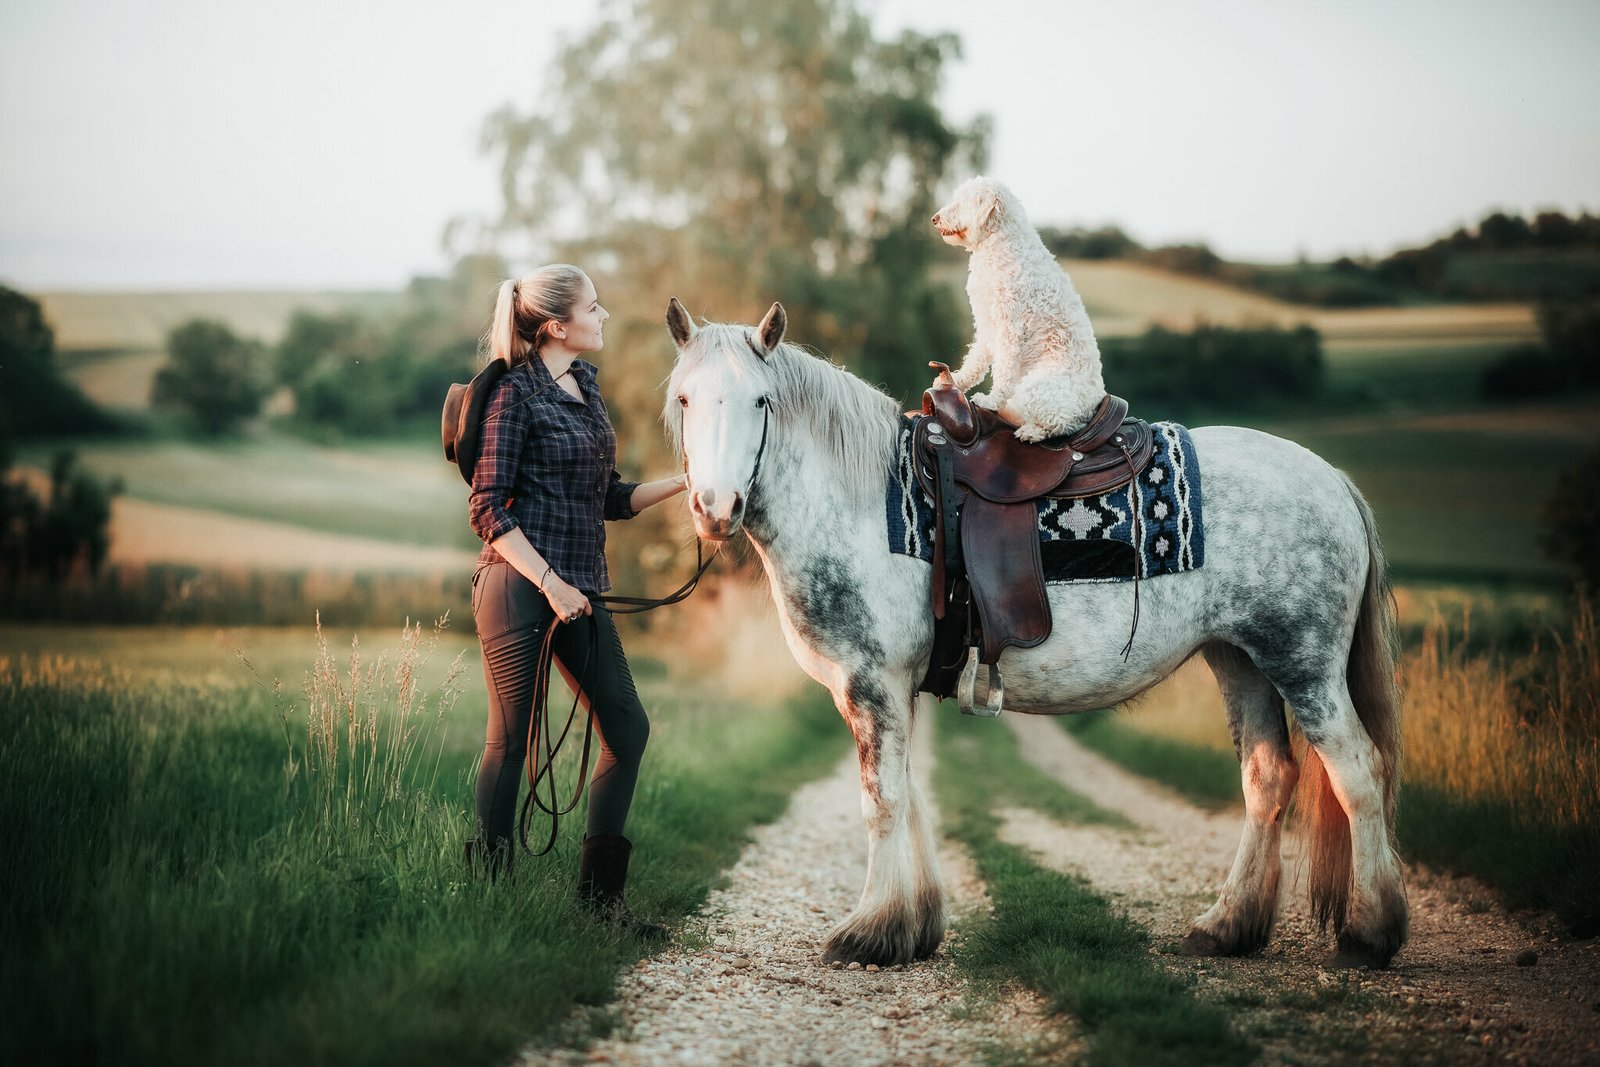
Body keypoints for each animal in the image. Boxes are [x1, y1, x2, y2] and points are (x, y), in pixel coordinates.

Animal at [665, 299, 1414, 966]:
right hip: (1240, 660)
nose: (715, 507)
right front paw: (912, 926)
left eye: (760, 401)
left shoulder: (871, 685)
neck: (861, 502)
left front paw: (869, 932)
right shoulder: (891, 691)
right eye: (684, 400)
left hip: (1303, 661)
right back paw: (1228, 926)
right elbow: (907, 796)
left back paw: (1370, 932)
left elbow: (882, 799)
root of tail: (1332, 479)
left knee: (1358, 771)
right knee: (1268, 777)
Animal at [934, 175, 1107, 441]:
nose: (935, 218)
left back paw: (1031, 432)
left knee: (1063, 424)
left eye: (963, 202)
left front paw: (990, 401)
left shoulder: (1010, 328)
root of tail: (1093, 405)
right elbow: (975, 360)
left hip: (1036, 391)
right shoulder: (987, 325)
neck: (998, 242)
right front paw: (956, 380)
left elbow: (1003, 370)